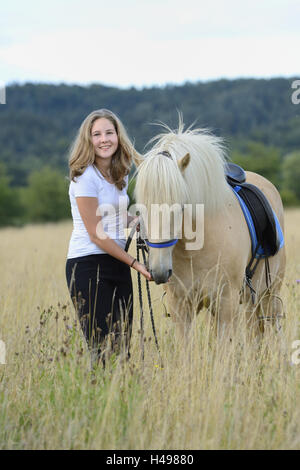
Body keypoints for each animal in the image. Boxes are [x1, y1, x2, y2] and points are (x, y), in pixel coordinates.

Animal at [134, 123, 286, 338]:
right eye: (140, 208)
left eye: (180, 206)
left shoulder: (226, 304)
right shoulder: (181, 307)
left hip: (269, 294)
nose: (159, 271)